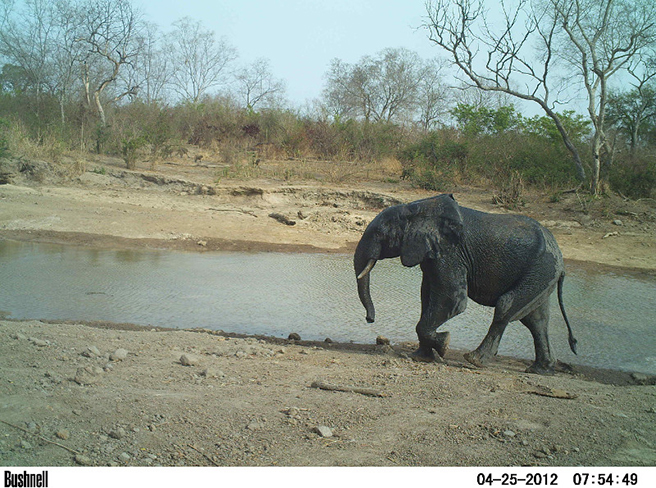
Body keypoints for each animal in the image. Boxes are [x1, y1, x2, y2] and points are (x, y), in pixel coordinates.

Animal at [356, 193, 576, 374]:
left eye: (380, 233)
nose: (369, 319)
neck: (416, 207)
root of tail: (561, 259)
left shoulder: (450, 252)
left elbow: (451, 299)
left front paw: (444, 345)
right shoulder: (432, 253)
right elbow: (427, 297)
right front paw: (421, 357)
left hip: (541, 268)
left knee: (507, 306)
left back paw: (475, 360)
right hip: (542, 273)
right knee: (536, 320)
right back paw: (540, 370)